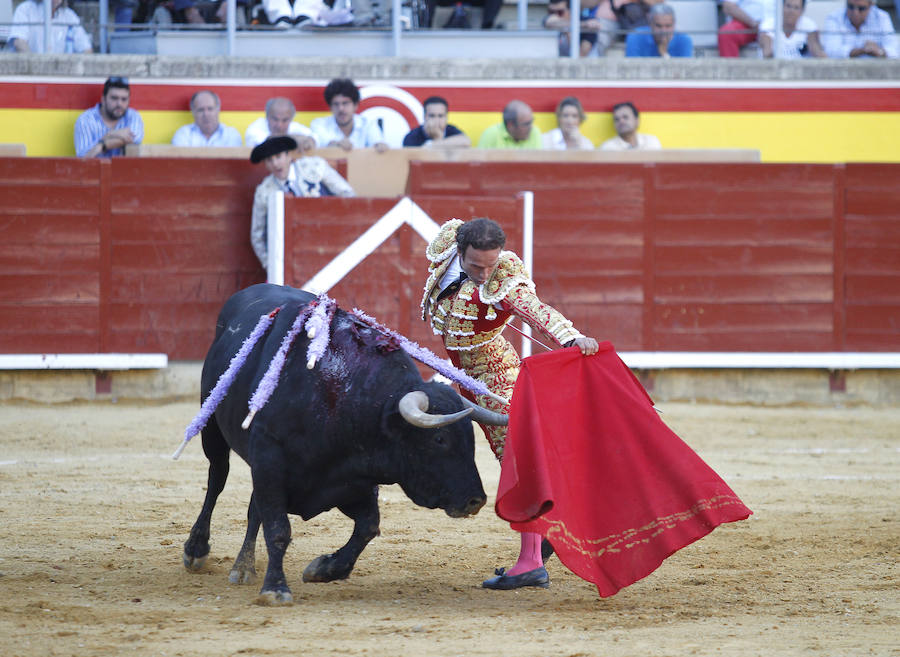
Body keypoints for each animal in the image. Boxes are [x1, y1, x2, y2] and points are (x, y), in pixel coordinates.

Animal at [184, 284, 506, 604]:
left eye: (471, 437)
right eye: (439, 439)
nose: (476, 500)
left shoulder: (349, 481)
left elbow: (368, 526)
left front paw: (324, 569)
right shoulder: (269, 463)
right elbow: (278, 529)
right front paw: (276, 588)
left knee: (253, 509)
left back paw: (243, 566)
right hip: (212, 427)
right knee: (217, 479)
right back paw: (199, 550)